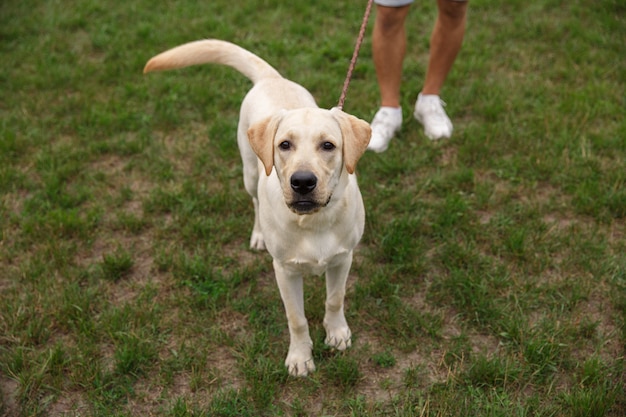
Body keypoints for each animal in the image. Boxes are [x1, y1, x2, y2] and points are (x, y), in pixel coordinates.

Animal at [144, 39, 368, 376]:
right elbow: (296, 318)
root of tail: (271, 77)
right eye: (284, 145)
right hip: (250, 172)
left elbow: (335, 298)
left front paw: (337, 333)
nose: (303, 182)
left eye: (328, 145)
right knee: (254, 201)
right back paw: (259, 234)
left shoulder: (343, 258)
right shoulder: (285, 270)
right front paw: (300, 357)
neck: (313, 222)